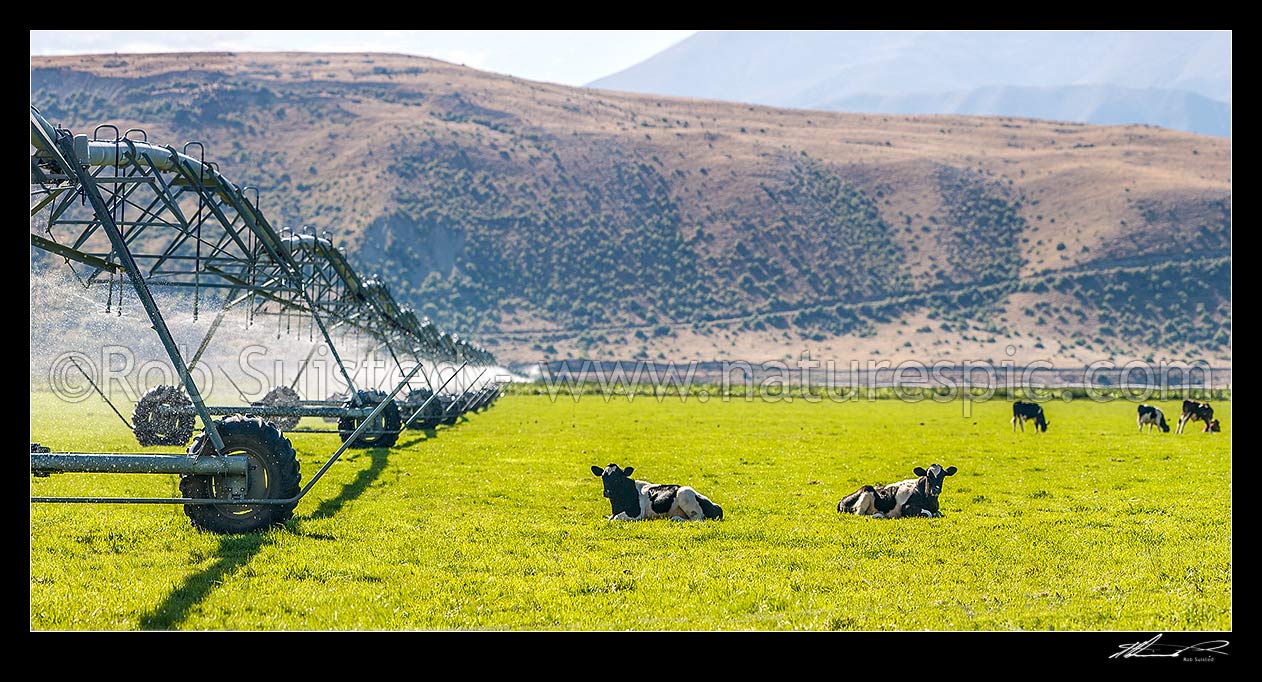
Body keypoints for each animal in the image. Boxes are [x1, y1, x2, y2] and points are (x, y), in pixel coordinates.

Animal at [588, 464, 726, 522]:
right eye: (603, 477)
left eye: (618, 478)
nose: (607, 492)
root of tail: (716, 506)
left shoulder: (636, 514)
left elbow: (614, 519)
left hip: (685, 493)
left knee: (697, 519)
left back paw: (675, 518)